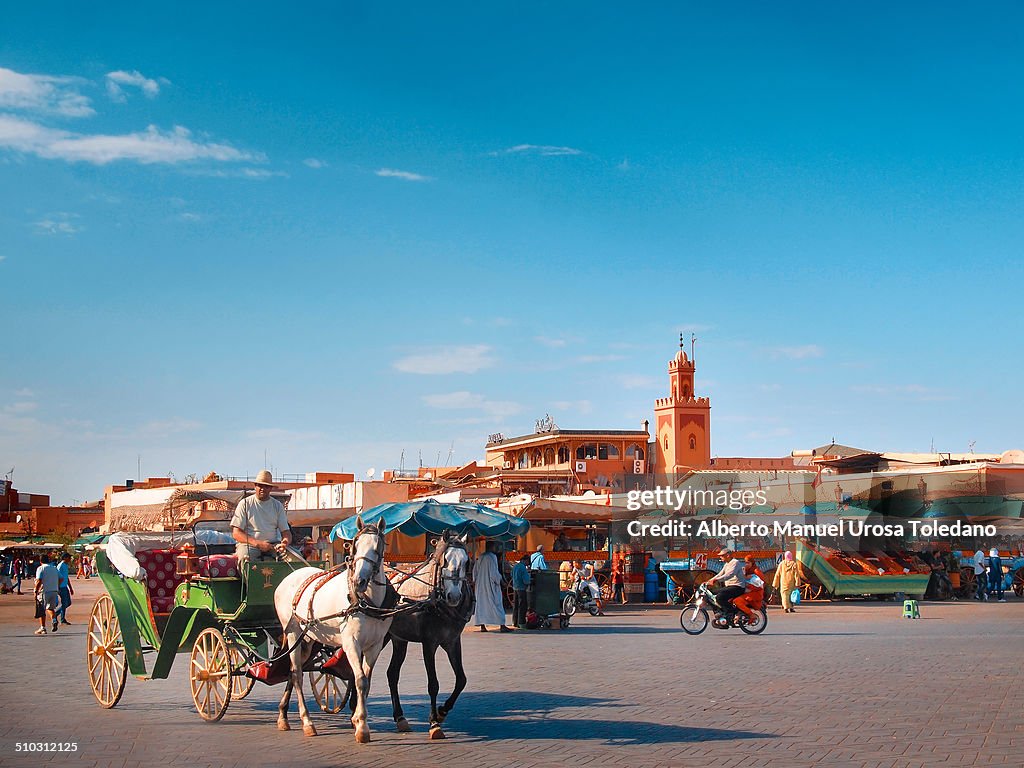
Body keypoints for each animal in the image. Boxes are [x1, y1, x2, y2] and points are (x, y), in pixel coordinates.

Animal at [272, 520, 391, 741]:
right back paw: (307, 722)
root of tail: (289, 577)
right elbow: (360, 680)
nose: (359, 581)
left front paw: (357, 719)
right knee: (297, 674)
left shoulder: (375, 645)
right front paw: (362, 728)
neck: (364, 601)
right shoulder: (351, 643)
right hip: (293, 634)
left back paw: (283, 715)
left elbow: (367, 681)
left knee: (292, 672)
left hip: (308, 639)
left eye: (377, 548)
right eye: (354, 546)